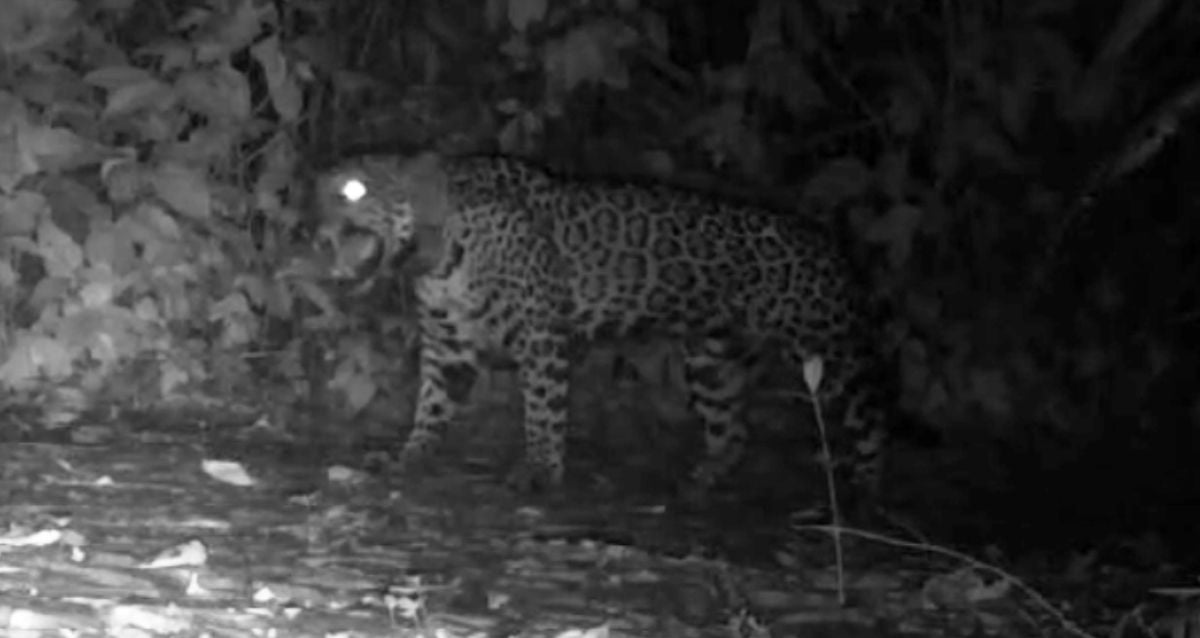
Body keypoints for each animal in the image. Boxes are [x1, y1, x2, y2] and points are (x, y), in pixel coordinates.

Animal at [314, 151, 896, 502]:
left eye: (353, 190)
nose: (312, 225)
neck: (432, 254)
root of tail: (831, 243)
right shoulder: (447, 341)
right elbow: (432, 403)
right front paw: (411, 456)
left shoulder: (541, 334)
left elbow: (543, 408)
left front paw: (541, 472)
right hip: (711, 360)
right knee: (733, 430)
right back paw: (705, 477)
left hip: (830, 352)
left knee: (871, 419)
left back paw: (867, 491)